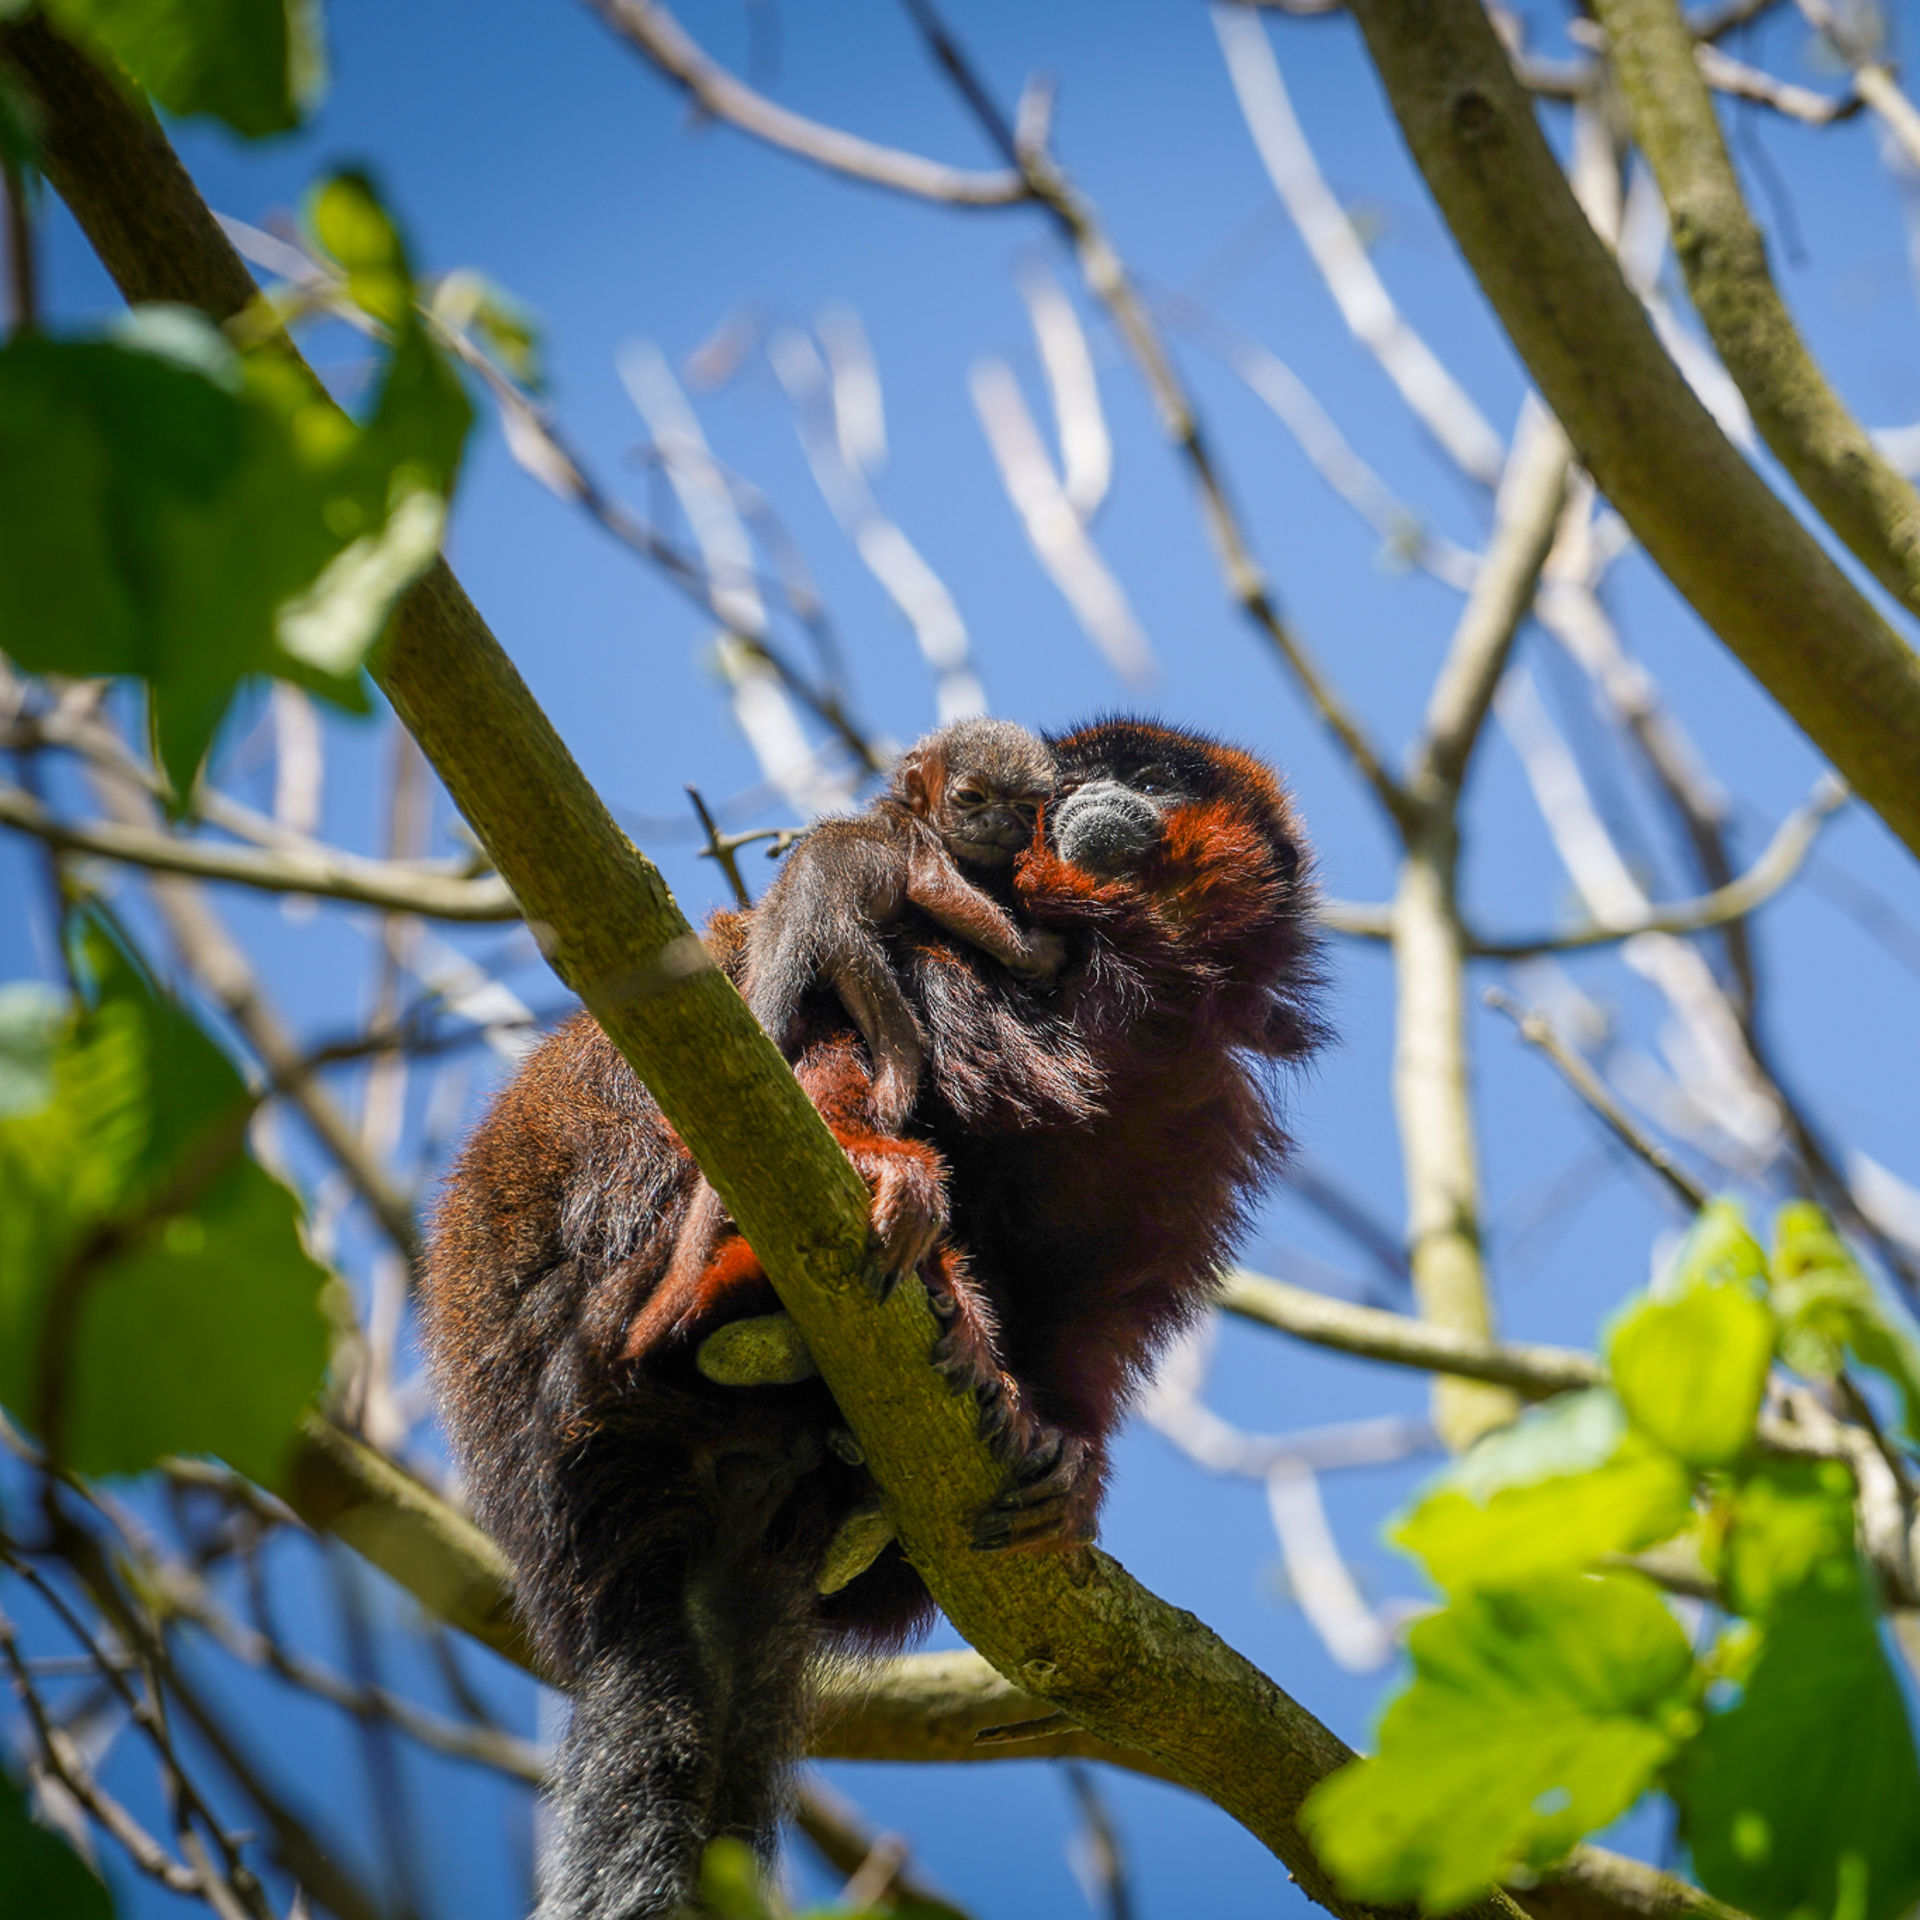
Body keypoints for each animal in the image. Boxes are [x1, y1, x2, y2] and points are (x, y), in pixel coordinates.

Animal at [418, 718, 1319, 1920]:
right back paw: (738, 1299)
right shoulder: (947, 944)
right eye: (1075, 780)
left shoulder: (1191, 1114)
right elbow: (821, 1029)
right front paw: (893, 1189)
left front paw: (1063, 1452)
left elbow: (1091, 1305)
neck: (1133, 992)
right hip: (575, 1323)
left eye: (1147, 778)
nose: (1091, 797)